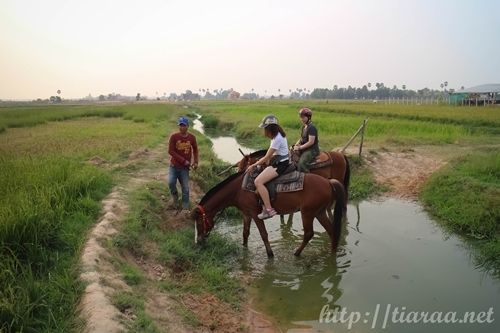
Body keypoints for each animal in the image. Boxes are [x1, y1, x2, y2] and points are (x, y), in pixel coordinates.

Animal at [190, 171, 344, 256]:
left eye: (199, 222)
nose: (198, 242)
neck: (239, 189)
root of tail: (328, 182)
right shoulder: (246, 214)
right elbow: (245, 233)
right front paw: (244, 248)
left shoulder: (254, 214)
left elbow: (264, 234)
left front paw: (270, 255)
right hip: (319, 212)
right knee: (331, 231)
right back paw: (332, 253)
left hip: (308, 213)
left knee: (308, 234)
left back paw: (297, 253)